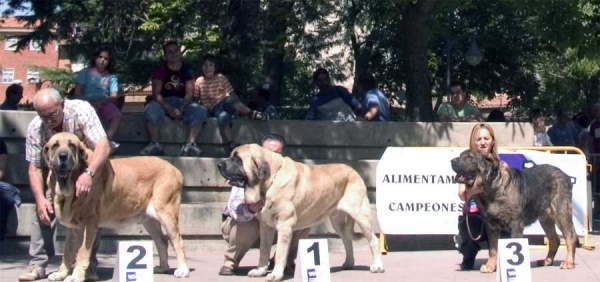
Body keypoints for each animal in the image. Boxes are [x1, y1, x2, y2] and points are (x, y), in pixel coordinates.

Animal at [43, 133, 189, 282]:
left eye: (72, 145)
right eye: (55, 145)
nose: (63, 156)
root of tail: (175, 169)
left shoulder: (88, 224)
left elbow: (82, 252)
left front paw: (75, 276)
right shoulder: (73, 228)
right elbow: (68, 251)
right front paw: (61, 273)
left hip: (166, 214)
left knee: (178, 241)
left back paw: (183, 270)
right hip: (149, 221)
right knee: (162, 241)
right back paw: (163, 267)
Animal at [217, 144, 384, 280]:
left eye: (237, 158)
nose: (218, 164)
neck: (269, 181)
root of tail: (353, 170)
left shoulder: (285, 225)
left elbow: (280, 252)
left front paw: (276, 274)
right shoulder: (266, 226)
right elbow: (264, 250)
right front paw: (260, 270)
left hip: (361, 215)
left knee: (373, 241)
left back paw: (377, 266)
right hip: (337, 222)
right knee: (347, 240)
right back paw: (349, 263)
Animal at [452, 150, 580, 274]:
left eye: (470, 157)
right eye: (460, 155)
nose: (452, 161)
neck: (491, 186)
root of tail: (566, 176)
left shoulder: (515, 224)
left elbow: (514, 244)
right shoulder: (491, 226)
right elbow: (493, 249)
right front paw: (490, 266)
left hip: (561, 212)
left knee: (570, 236)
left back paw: (568, 262)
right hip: (546, 220)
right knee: (554, 239)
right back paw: (547, 261)